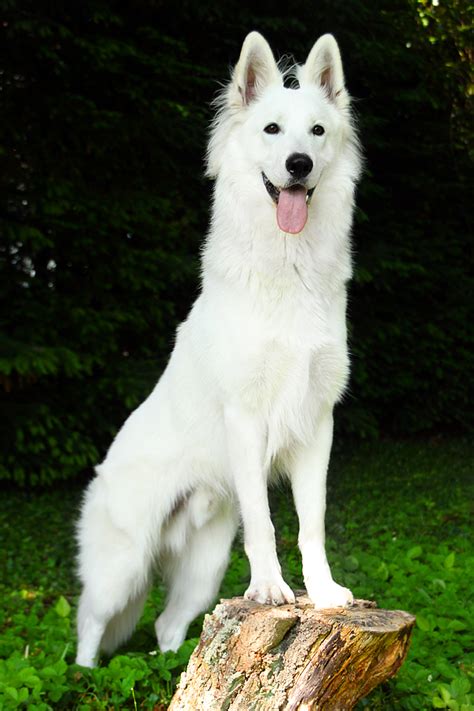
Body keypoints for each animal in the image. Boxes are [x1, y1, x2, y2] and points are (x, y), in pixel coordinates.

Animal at [76, 32, 362, 668]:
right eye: (272, 130)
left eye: (317, 132)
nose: (299, 165)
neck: (287, 272)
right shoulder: (247, 417)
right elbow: (265, 522)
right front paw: (273, 590)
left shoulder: (318, 424)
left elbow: (311, 523)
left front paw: (323, 592)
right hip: (120, 569)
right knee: (87, 630)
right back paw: (83, 677)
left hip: (202, 572)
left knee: (165, 625)